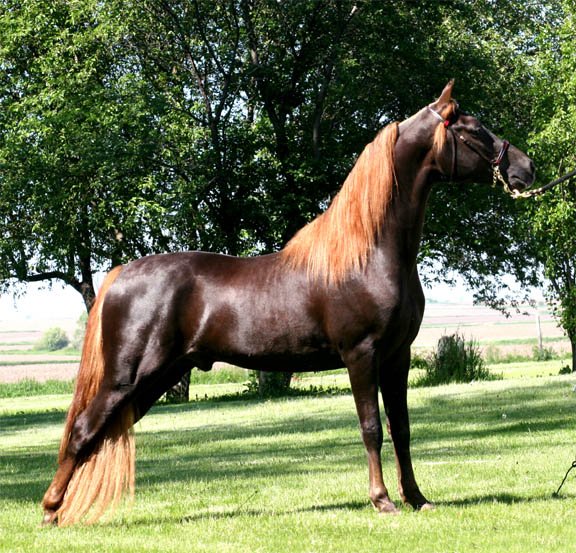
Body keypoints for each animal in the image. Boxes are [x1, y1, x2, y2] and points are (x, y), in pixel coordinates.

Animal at [40, 80, 536, 524]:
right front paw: (382, 501)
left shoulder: (398, 355)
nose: (526, 168)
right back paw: (49, 510)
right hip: (127, 379)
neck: (371, 250)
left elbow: (402, 428)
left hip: (156, 378)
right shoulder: (361, 354)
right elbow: (372, 428)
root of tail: (121, 273)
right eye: (474, 130)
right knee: (83, 431)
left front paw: (416, 498)